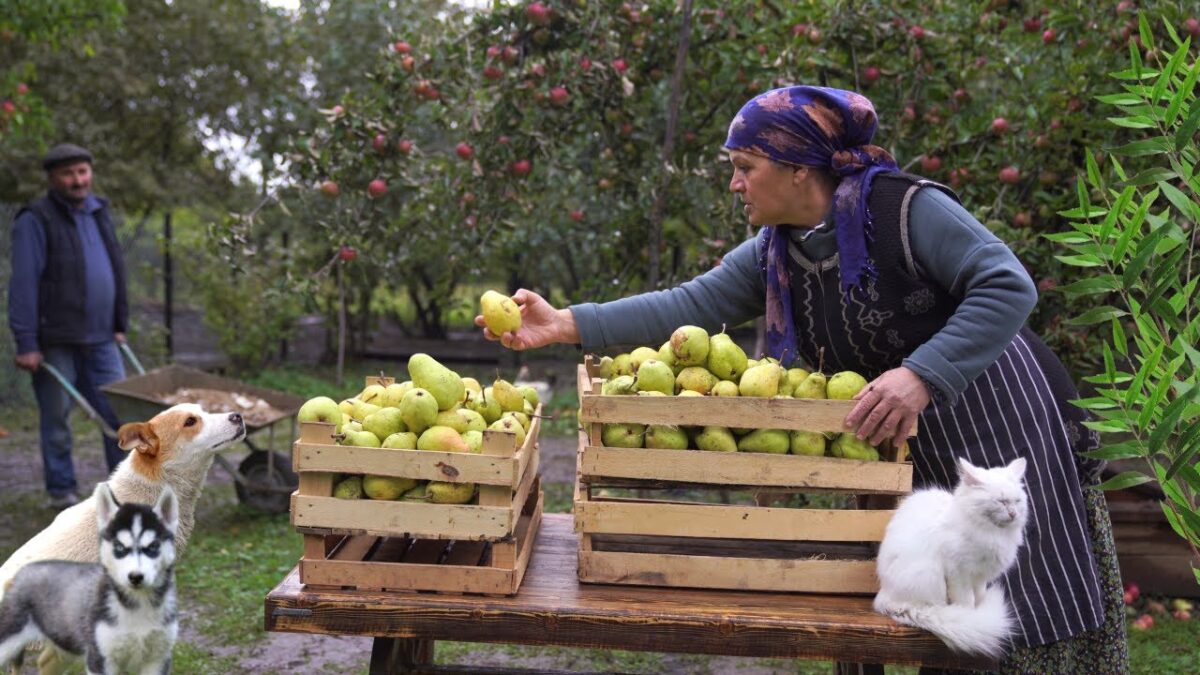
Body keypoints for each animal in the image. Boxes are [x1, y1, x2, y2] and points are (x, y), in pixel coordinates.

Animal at [0, 480, 177, 672]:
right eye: (119, 547)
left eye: (153, 546)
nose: (136, 577)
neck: (138, 604)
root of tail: (20, 572)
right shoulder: (99, 658)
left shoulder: (158, 659)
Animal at [873, 454, 1032, 653]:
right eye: (1001, 501)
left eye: (1017, 501)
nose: (1013, 514)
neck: (992, 533)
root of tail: (883, 596)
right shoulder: (959, 572)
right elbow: (967, 600)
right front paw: (971, 617)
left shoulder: (980, 577)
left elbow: (979, 597)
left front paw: (978, 612)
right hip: (930, 576)